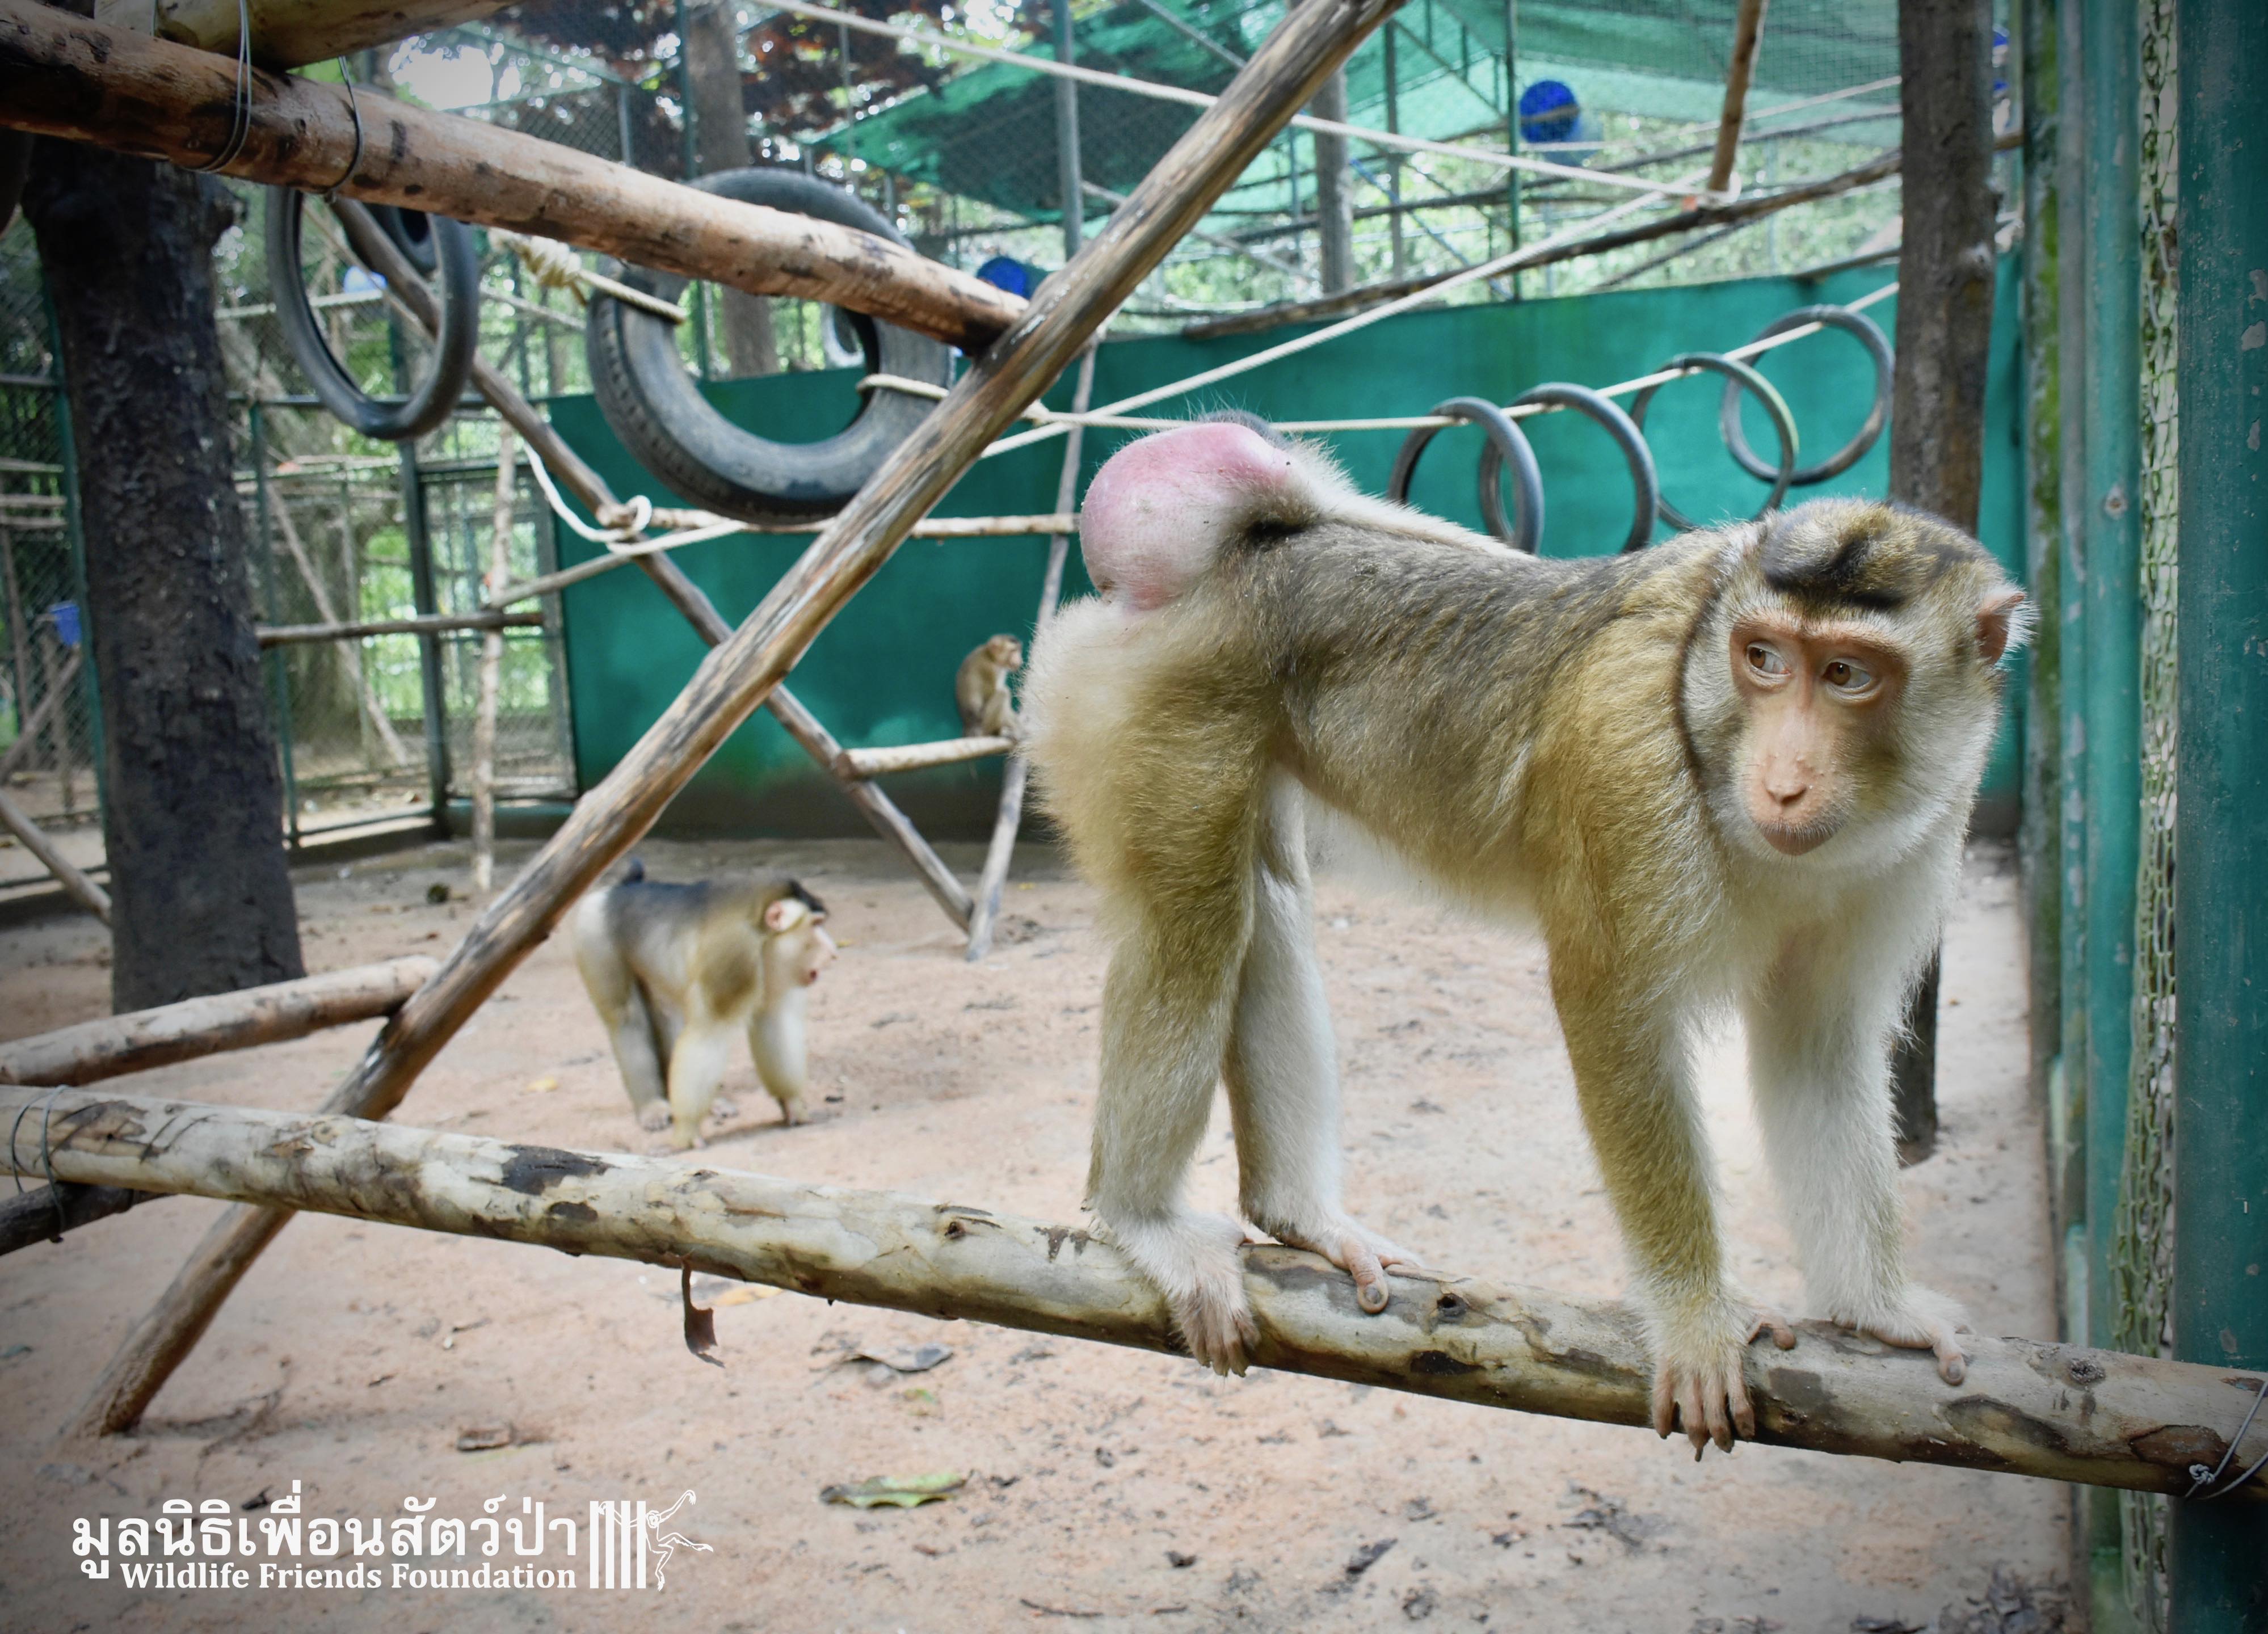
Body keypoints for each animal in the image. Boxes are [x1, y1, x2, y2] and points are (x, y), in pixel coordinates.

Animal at [571, 861, 839, 1156]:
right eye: (816, 925)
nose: (834, 951)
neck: (763, 936)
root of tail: (621, 889)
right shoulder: (734, 958)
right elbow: (709, 1032)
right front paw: (687, 1131)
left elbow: (773, 1022)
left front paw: (792, 1103)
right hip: (592, 930)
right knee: (626, 1016)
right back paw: (652, 1106)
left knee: (669, 1013)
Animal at [957, 634, 1029, 734]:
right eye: (1013, 651)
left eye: (1018, 650)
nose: (1019, 659)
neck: (991, 657)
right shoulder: (989, 669)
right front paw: (1018, 728)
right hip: (985, 723)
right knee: (1003, 693)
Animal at [1020, 416, 2032, 1450]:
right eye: (1763, 659)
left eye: (1846, 675)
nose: (1784, 781)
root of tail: (1233, 563)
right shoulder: (1626, 763)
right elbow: (1610, 1011)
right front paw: (1694, 1317)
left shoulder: (1927, 822)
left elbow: (1817, 1046)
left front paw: (1879, 1311)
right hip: (1150, 705)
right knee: (1191, 926)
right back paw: (1140, 1218)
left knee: (1261, 902)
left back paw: (1296, 1215)